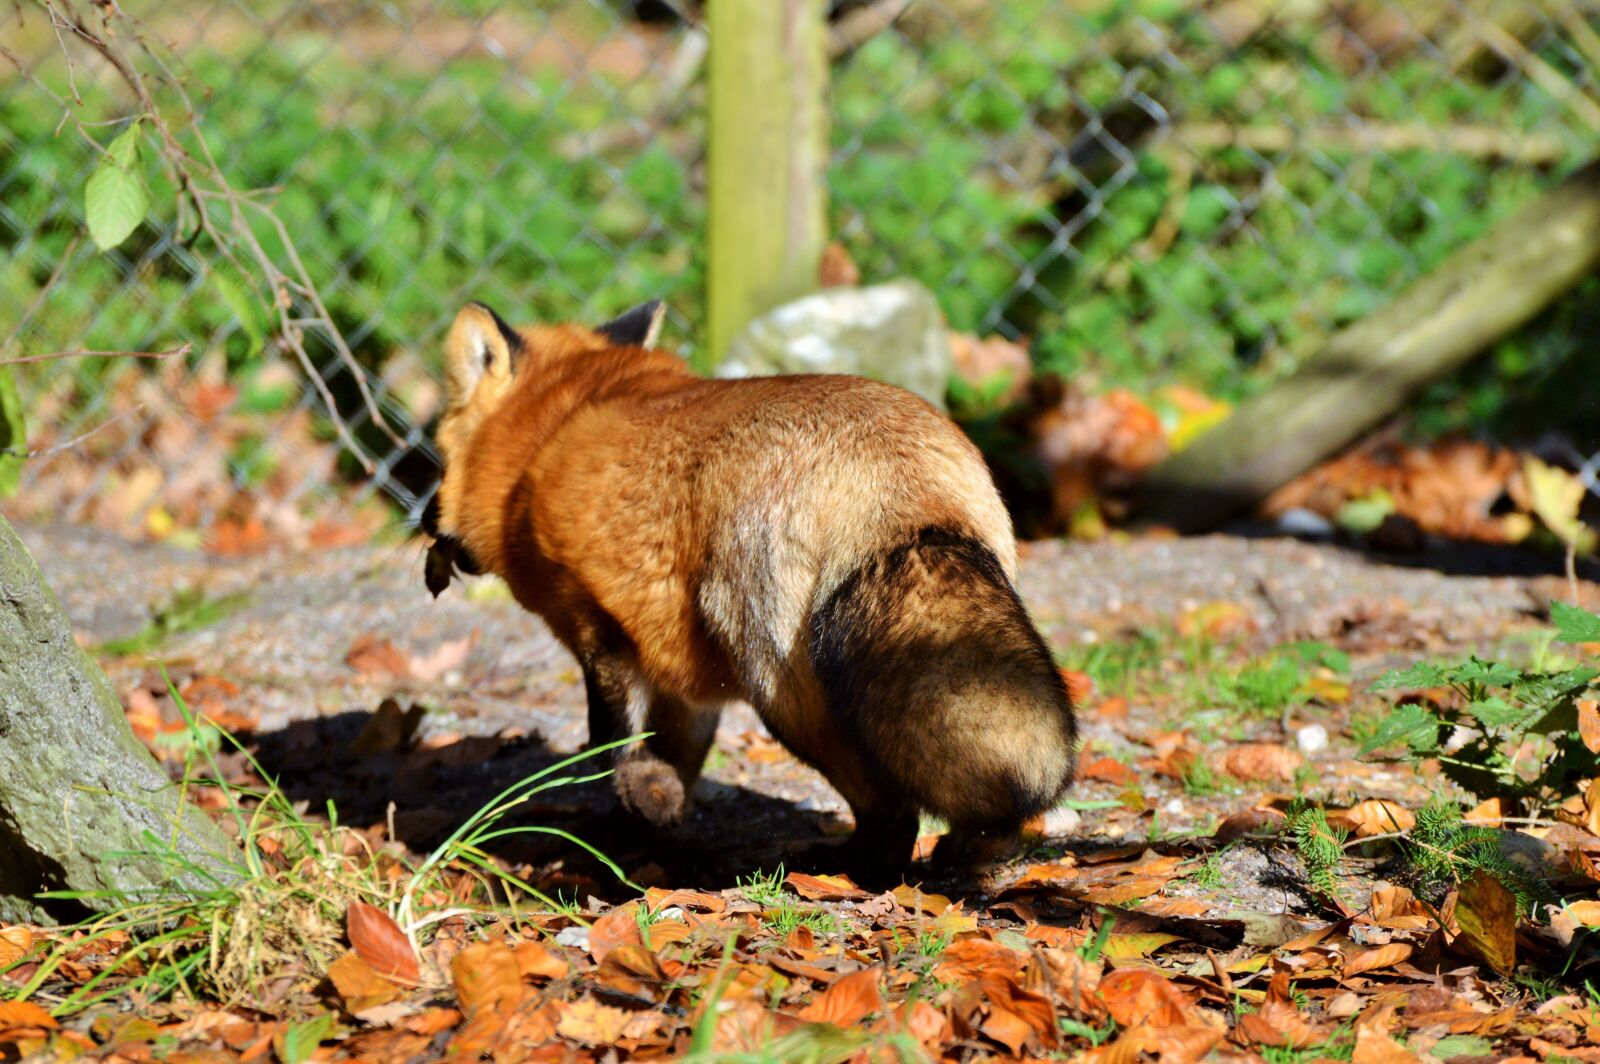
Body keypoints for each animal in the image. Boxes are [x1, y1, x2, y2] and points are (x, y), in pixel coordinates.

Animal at [420, 298, 1078, 882]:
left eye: (440, 454)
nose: (427, 522)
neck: (547, 441)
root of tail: (893, 477)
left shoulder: (597, 628)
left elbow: (610, 752)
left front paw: (625, 826)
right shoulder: (678, 670)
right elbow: (674, 759)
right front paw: (652, 829)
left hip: (780, 692)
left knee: (891, 815)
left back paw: (846, 871)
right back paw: (977, 850)